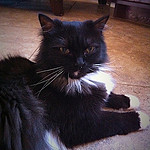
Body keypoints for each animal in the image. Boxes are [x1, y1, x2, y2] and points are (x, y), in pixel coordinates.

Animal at [0, 13, 149, 149]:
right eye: (64, 49)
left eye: (89, 49)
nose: (80, 63)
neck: (76, 82)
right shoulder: (78, 125)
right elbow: (115, 119)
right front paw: (143, 117)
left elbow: (108, 95)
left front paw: (131, 99)